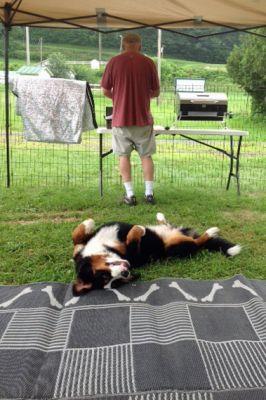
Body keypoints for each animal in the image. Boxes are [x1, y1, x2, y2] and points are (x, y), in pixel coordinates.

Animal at [72, 211, 241, 296]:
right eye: (115, 282)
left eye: (104, 276)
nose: (126, 272)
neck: (104, 247)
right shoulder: (134, 254)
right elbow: (133, 236)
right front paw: (140, 229)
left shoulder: (82, 247)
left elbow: (76, 235)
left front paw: (88, 222)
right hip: (175, 246)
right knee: (197, 242)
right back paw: (210, 232)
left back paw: (160, 217)